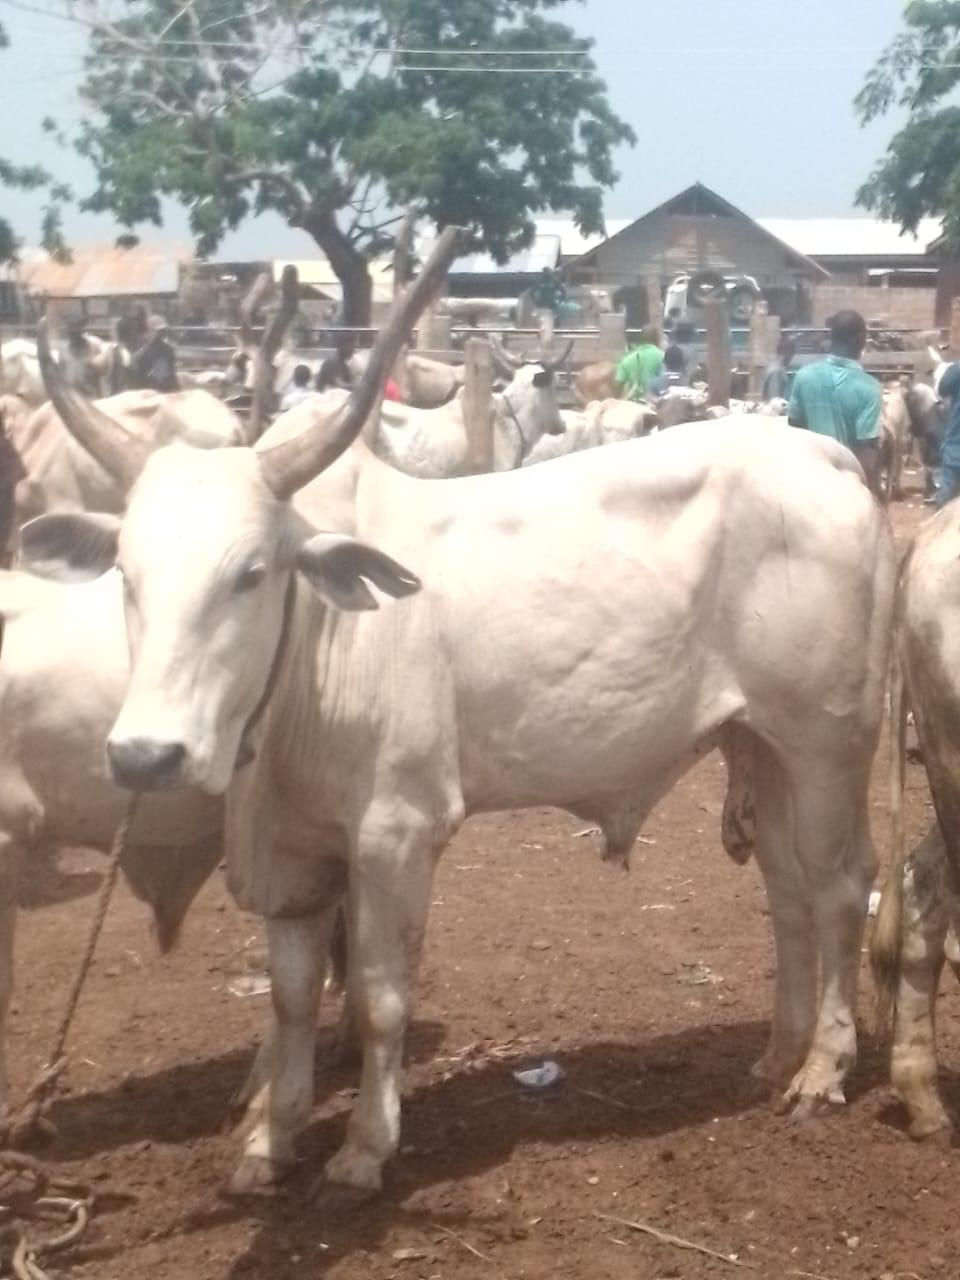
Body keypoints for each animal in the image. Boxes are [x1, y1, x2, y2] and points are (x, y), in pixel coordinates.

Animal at [26, 248, 894, 1201]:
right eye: (126, 571)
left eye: (250, 573)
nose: (148, 755)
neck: (315, 649)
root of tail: (822, 455)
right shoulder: (292, 851)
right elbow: (290, 1000)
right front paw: (267, 1142)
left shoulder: (397, 834)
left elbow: (380, 997)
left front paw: (365, 1148)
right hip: (760, 741)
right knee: (786, 887)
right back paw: (777, 1056)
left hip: (829, 741)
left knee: (840, 887)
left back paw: (823, 1070)